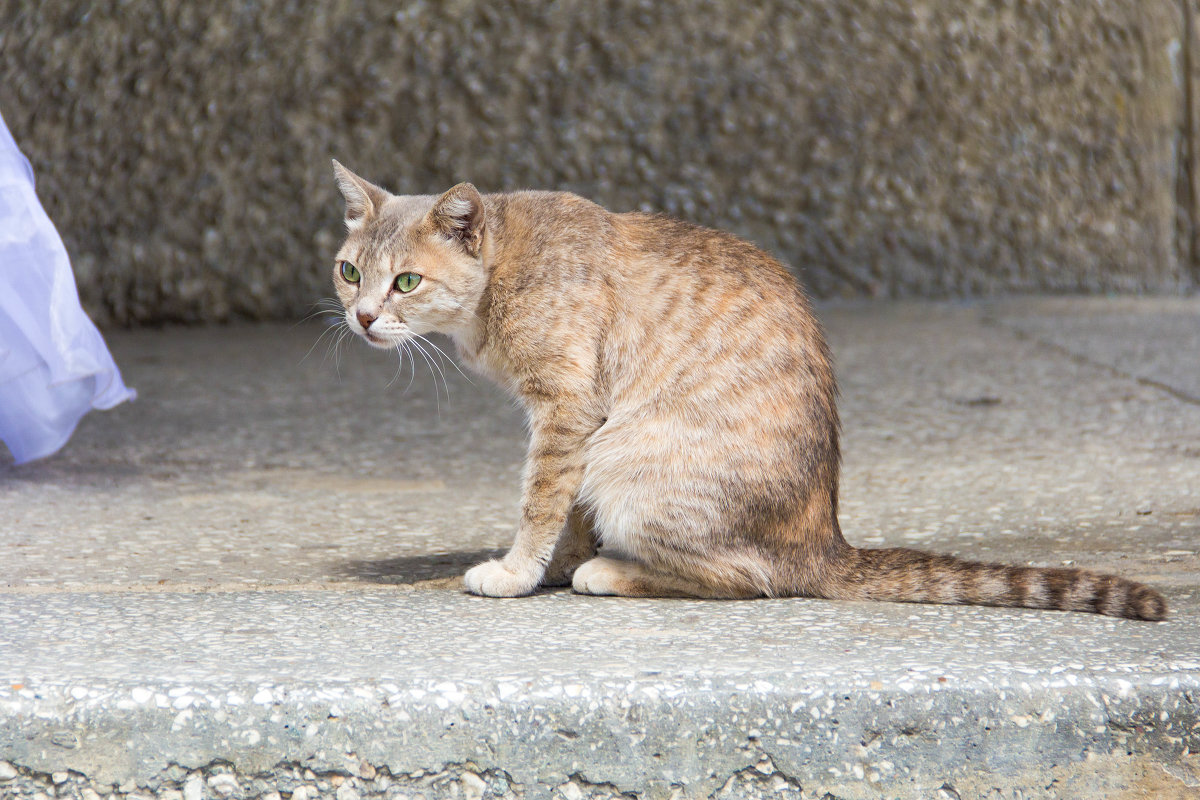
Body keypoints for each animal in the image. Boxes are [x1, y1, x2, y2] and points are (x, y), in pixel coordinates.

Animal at [326, 163, 1161, 623]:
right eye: (349, 271)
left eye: (407, 281)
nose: (360, 317)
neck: (502, 272)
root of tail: (826, 542)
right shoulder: (573, 422)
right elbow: (564, 510)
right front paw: (558, 561)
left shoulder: (567, 412)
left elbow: (539, 502)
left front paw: (519, 571)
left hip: (629, 461)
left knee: (750, 580)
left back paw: (613, 572)